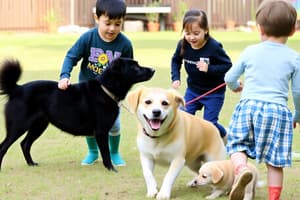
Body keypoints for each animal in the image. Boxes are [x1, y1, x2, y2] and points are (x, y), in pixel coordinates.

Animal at [0, 57, 155, 172]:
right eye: (135, 67)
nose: (153, 69)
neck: (105, 89)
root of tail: (17, 89)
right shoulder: (101, 132)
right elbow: (106, 153)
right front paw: (111, 169)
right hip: (18, 127)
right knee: (4, 146)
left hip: (38, 126)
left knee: (25, 144)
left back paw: (31, 163)